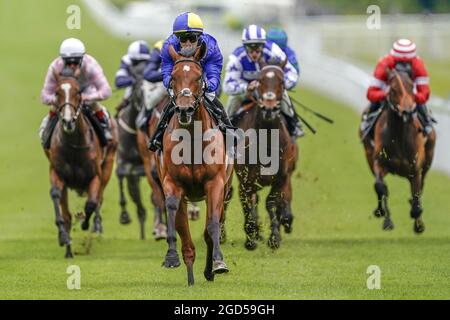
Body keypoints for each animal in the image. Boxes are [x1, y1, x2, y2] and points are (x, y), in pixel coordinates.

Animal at [46, 70, 118, 258]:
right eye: (56, 92)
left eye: (78, 92)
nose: (68, 121)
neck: (74, 146)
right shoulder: (56, 172)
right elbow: (57, 199)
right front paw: (63, 236)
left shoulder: (95, 176)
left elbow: (91, 203)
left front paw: (86, 223)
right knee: (67, 211)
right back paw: (68, 248)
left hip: (108, 165)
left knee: (98, 198)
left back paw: (96, 225)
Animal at [153, 43, 234, 286]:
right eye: (173, 78)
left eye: (199, 77)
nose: (184, 109)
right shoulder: (172, 183)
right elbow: (178, 224)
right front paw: (173, 259)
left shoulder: (215, 183)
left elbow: (212, 226)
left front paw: (218, 263)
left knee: (212, 227)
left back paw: (210, 270)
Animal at [232, 61, 298, 251]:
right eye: (260, 80)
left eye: (282, 82)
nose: (269, 107)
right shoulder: (246, 180)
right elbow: (248, 204)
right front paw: (251, 237)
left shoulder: (281, 177)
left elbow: (271, 202)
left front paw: (274, 237)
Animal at [358, 70, 436, 234]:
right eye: (393, 89)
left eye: (412, 87)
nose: (407, 111)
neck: (399, 136)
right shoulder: (379, 162)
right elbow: (380, 187)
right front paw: (387, 221)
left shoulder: (415, 170)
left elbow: (416, 197)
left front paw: (418, 224)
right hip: (369, 155)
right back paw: (380, 210)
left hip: (428, 159)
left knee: (421, 187)